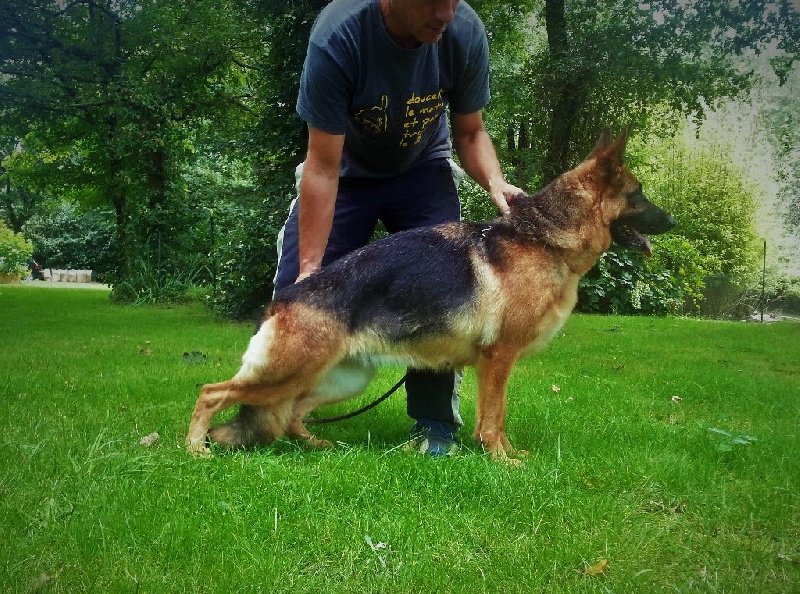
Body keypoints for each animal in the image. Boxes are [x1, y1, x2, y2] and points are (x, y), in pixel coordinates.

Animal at [186, 127, 675, 461]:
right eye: (639, 194)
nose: (673, 222)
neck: (542, 238)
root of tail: (281, 300)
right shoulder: (498, 358)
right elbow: (493, 417)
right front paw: (502, 460)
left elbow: (494, 417)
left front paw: (505, 455)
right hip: (286, 373)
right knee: (212, 392)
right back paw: (195, 448)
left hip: (338, 378)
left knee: (292, 413)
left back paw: (315, 445)